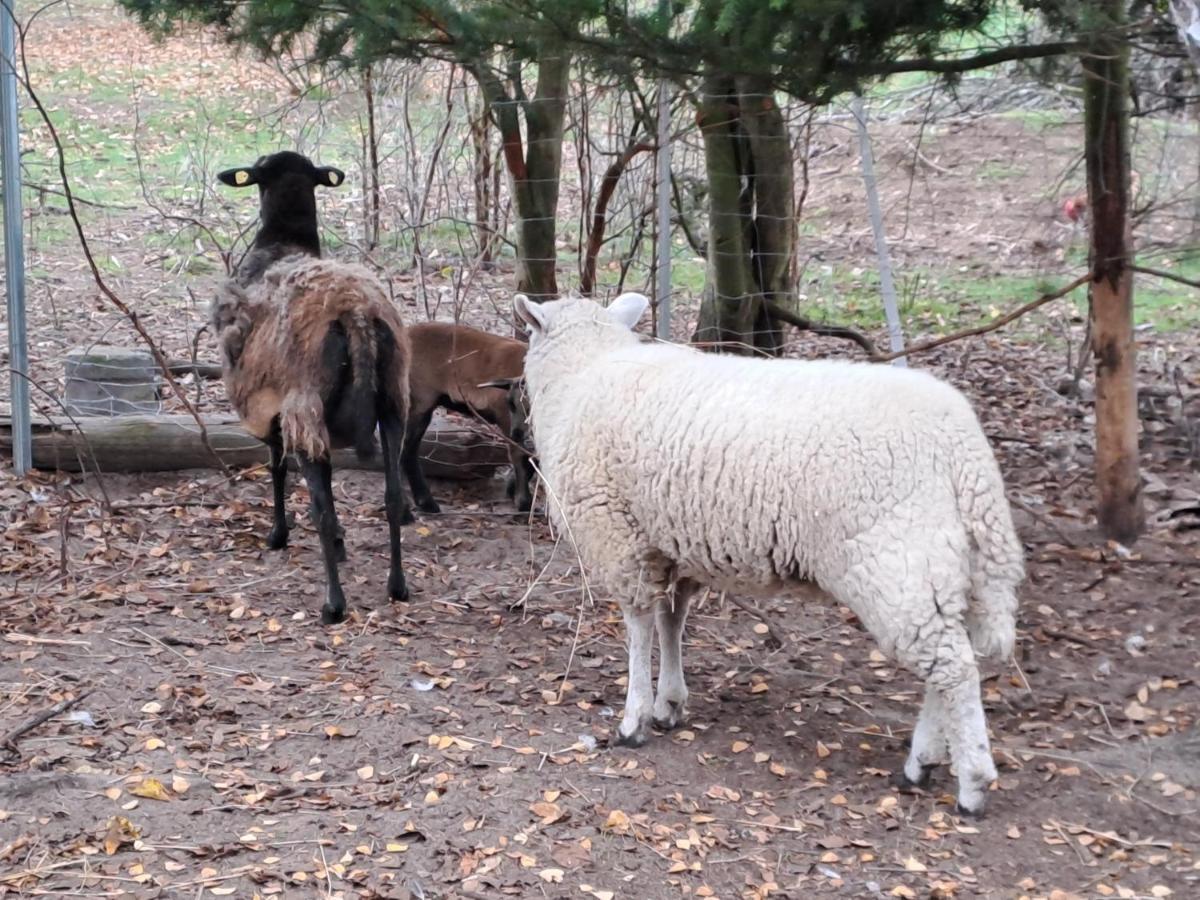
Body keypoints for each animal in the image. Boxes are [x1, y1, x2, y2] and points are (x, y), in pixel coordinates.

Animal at [208, 150, 410, 628]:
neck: (282, 244)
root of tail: (356, 313)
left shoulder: (272, 408)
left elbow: (277, 468)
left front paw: (278, 535)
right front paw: (340, 543)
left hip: (306, 403)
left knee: (317, 505)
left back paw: (333, 604)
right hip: (392, 401)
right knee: (393, 495)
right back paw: (397, 587)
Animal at [405, 324, 532, 518]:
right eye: (510, 402)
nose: (517, 433)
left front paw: (513, 490)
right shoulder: (504, 415)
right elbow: (520, 455)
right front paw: (524, 502)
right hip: (419, 399)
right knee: (405, 449)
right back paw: (425, 504)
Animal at [513, 294, 1022, 816]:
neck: (583, 372)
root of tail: (965, 452)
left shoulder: (622, 536)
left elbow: (639, 628)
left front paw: (635, 718)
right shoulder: (674, 543)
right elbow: (671, 623)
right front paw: (670, 703)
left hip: (898, 562)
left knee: (954, 669)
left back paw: (970, 782)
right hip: (948, 568)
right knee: (954, 660)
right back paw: (925, 761)